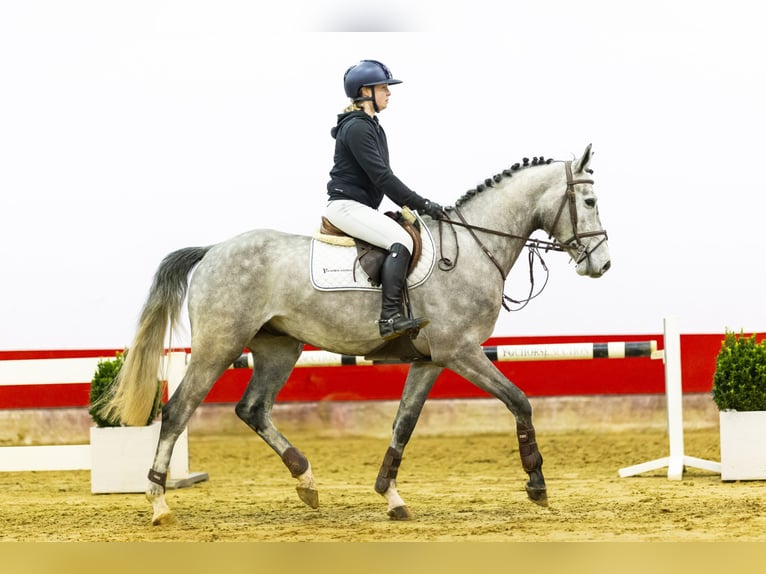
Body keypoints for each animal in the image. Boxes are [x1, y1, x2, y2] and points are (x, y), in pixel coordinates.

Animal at [99, 144, 612, 528]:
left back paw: (306, 482)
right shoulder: (462, 352)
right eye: (589, 202)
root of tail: (211, 251)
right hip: (217, 347)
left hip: (279, 347)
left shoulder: (430, 360)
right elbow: (519, 400)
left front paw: (391, 496)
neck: (471, 248)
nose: (601, 264)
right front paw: (537, 485)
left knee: (253, 409)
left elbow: (404, 424)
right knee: (178, 411)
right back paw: (159, 503)